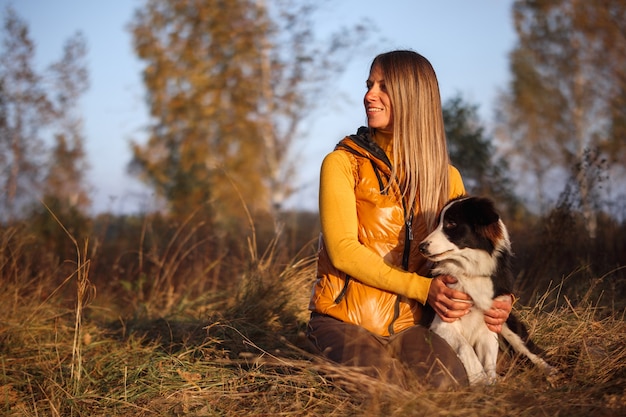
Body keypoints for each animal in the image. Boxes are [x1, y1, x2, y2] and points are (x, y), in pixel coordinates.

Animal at [416, 195, 552, 384]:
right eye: (438, 223)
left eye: (451, 223)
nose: (421, 246)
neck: (469, 272)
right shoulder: (442, 322)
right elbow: (467, 349)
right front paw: (481, 383)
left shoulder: (488, 324)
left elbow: (488, 361)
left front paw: (489, 384)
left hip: (507, 324)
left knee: (531, 352)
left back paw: (552, 372)